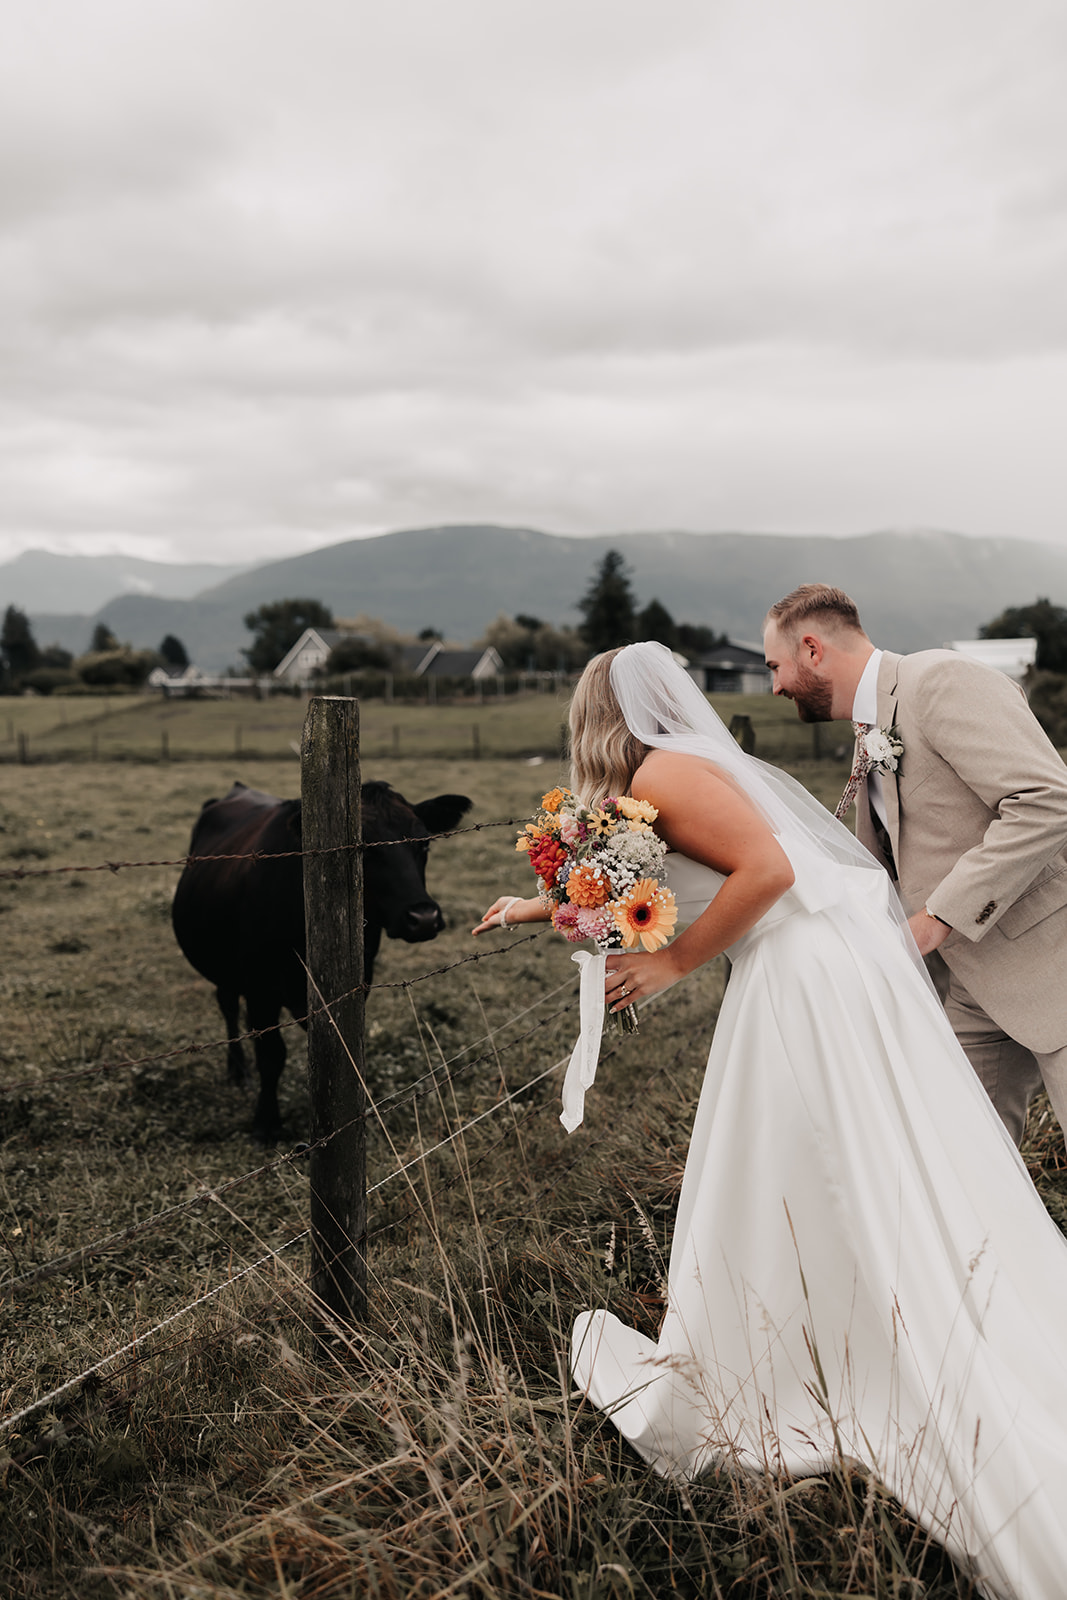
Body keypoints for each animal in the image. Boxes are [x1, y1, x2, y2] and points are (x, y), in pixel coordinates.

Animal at [173, 777, 470, 1139]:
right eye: (365, 848)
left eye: (424, 844)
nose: (424, 917)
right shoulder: (261, 989)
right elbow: (271, 1055)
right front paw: (267, 1123)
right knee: (229, 1007)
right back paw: (238, 1069)